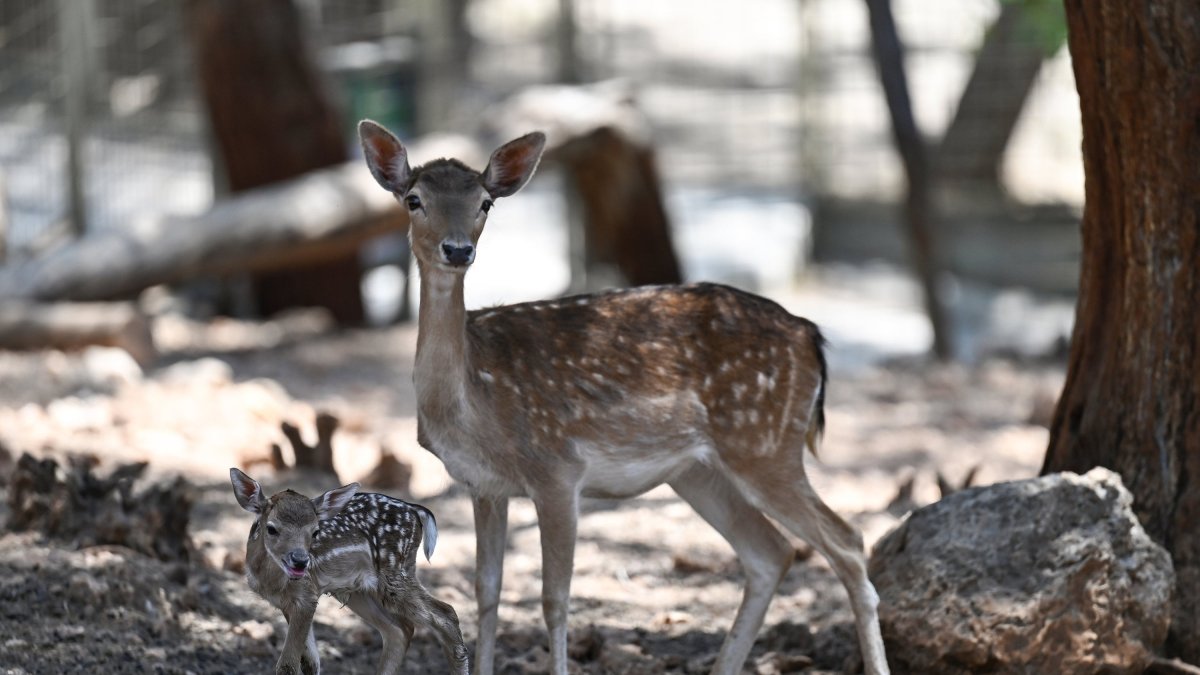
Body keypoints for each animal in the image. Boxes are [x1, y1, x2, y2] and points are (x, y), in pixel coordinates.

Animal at [229, 468, 469, 675]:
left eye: (315, 532)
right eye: (271, 528)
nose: (300, 561)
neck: (271, 581)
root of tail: (415, 510)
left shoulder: (306, 595)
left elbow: (287, 666)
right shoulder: (289, 603)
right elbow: (310, 663)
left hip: (395, 573)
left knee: (447, 613)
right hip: (359, 590)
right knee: (400, 630)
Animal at [357, 120, 890, 675]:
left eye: (486, 202)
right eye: (414, 199)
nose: (458, 250)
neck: (472, 401)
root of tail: (811, 337)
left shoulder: (557, 470)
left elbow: (554, 598)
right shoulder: (484, 486)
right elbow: (487, 591)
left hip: (764, 443)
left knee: (847, 542)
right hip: (698, 470)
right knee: (771, 553)